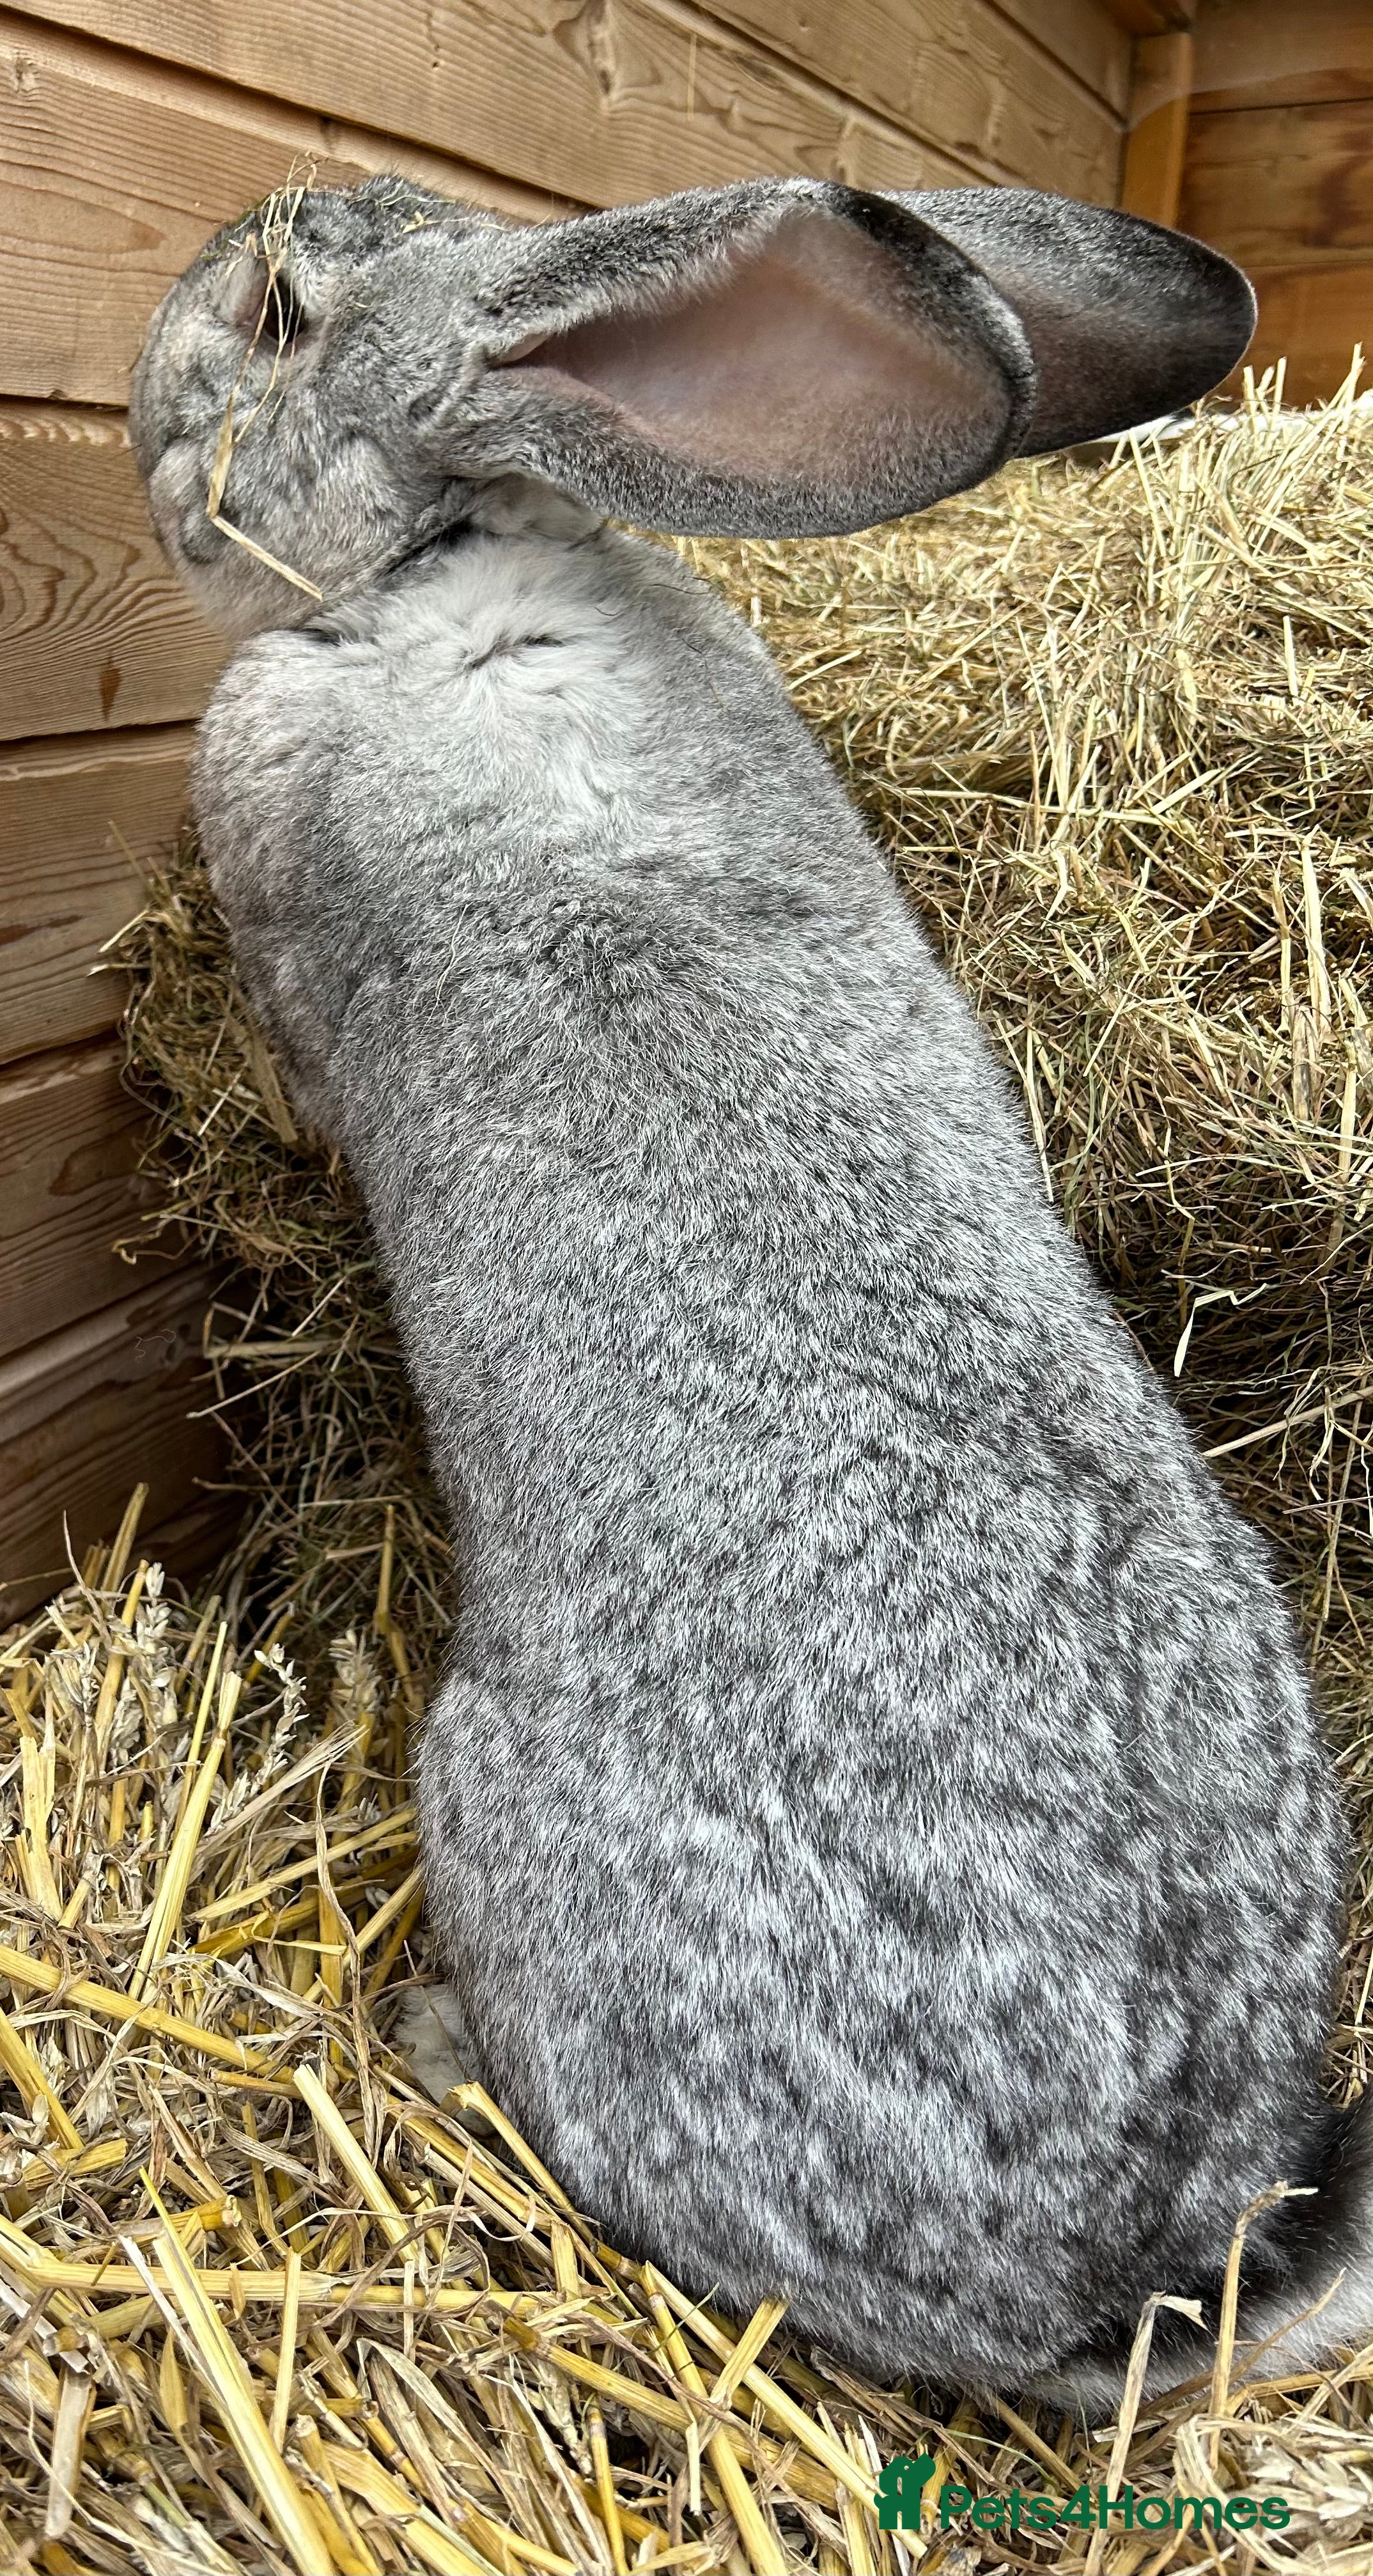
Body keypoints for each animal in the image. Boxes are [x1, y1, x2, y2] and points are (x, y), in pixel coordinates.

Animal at [130, 171, 1372, 2409]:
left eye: (272, 312)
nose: (148, 347)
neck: (460, 539)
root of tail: (1122, 2270)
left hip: (502, 1824)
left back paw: (430, 2039)